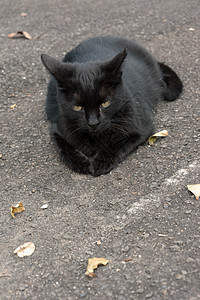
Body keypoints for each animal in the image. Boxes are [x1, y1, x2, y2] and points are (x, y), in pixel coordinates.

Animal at [41, 35, 184, 176]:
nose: (93, 123)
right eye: (78, 107)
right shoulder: (57, 128)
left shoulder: (141, 128)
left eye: (105, 103)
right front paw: (81, 163)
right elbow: (65, 149)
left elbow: (118, 144)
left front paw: (100, 162)